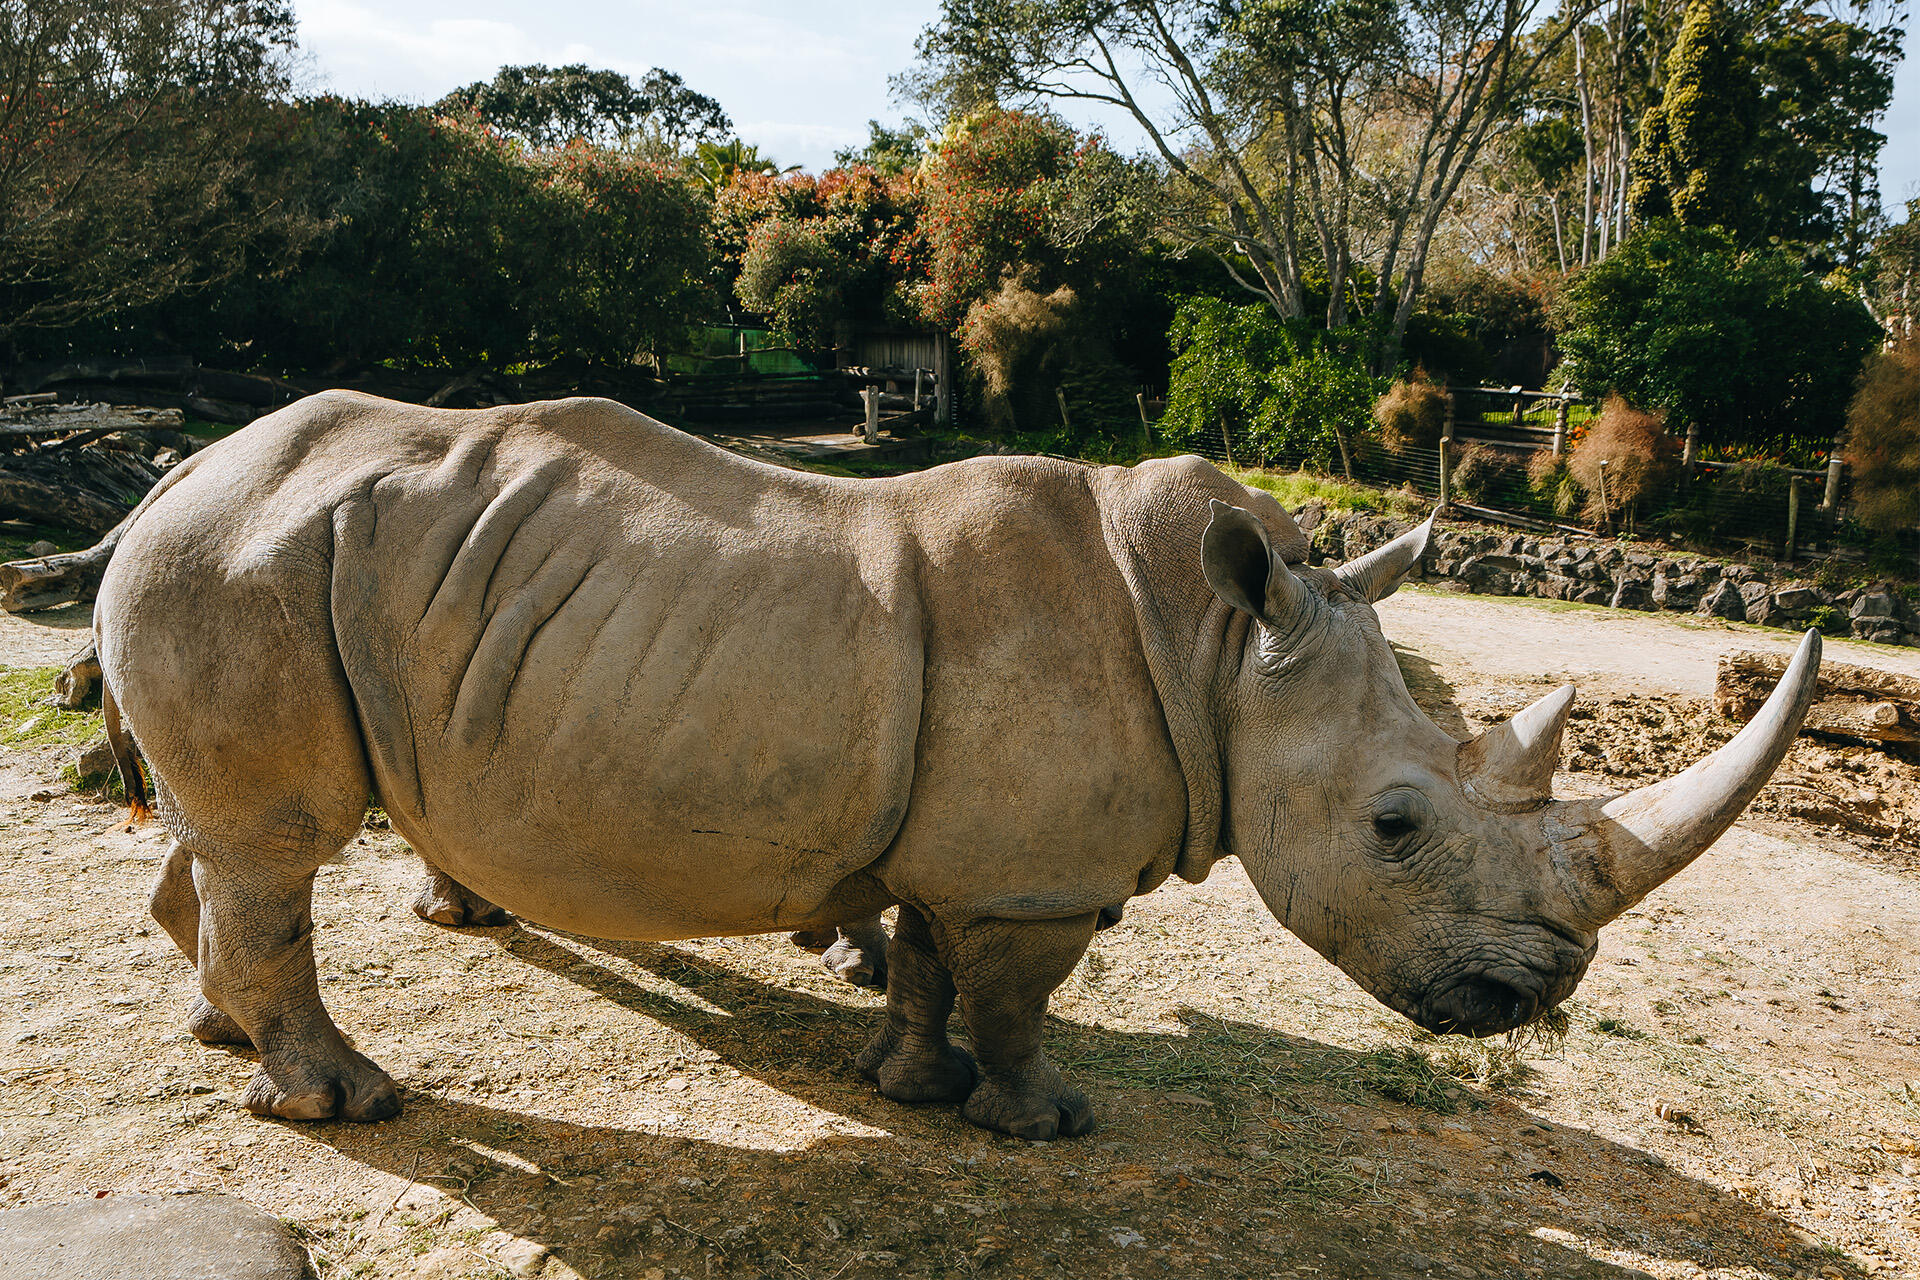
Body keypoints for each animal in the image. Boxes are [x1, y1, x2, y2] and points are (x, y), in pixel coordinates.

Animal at [98, 392, 1820, 1140]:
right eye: (1397, 826)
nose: (1539, 997)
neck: (1222, 655)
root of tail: (172, 474)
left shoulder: (968, 848)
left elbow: (929, 961)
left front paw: (909, 1087)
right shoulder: (1028, 880)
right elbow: (1016, 998)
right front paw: (1043, 1124)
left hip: (264, 561)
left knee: (225, 838)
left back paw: (218, 1035)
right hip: (239, 564)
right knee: (279, 842)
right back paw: (344, 1105)